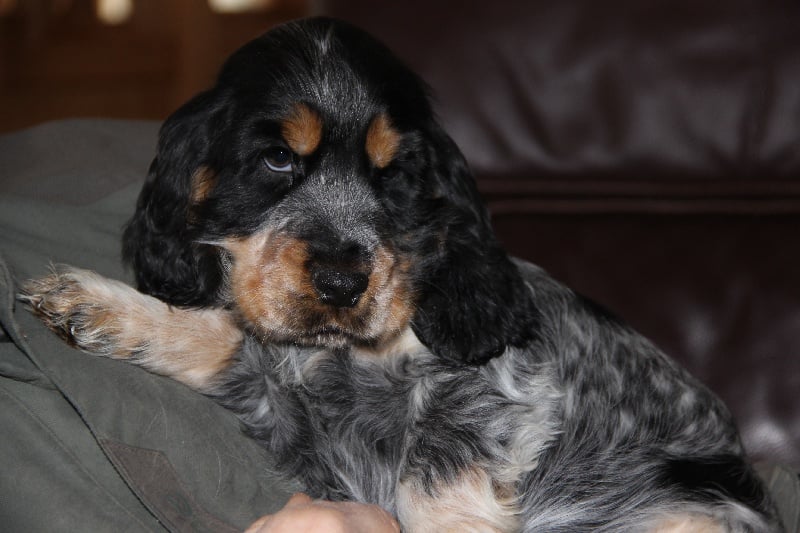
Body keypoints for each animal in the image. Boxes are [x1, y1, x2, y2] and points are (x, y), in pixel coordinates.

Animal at [20, 17, 782, 532]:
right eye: (275, 159)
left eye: (396, 174)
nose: (341, 284)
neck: (332, 362)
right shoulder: (269, 380)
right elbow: (216, 332)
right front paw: (91, 303)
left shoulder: (497, 395)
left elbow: (433, 475)